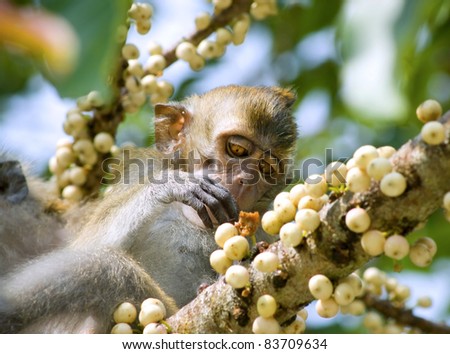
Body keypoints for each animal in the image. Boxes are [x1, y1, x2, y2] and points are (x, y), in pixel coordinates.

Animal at [0, 84, 298, 334]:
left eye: (266, 169)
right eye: (236, 148)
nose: (244, 181)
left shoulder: (266, 227)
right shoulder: (140, 171)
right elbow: (84, 244)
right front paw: (174, 185)